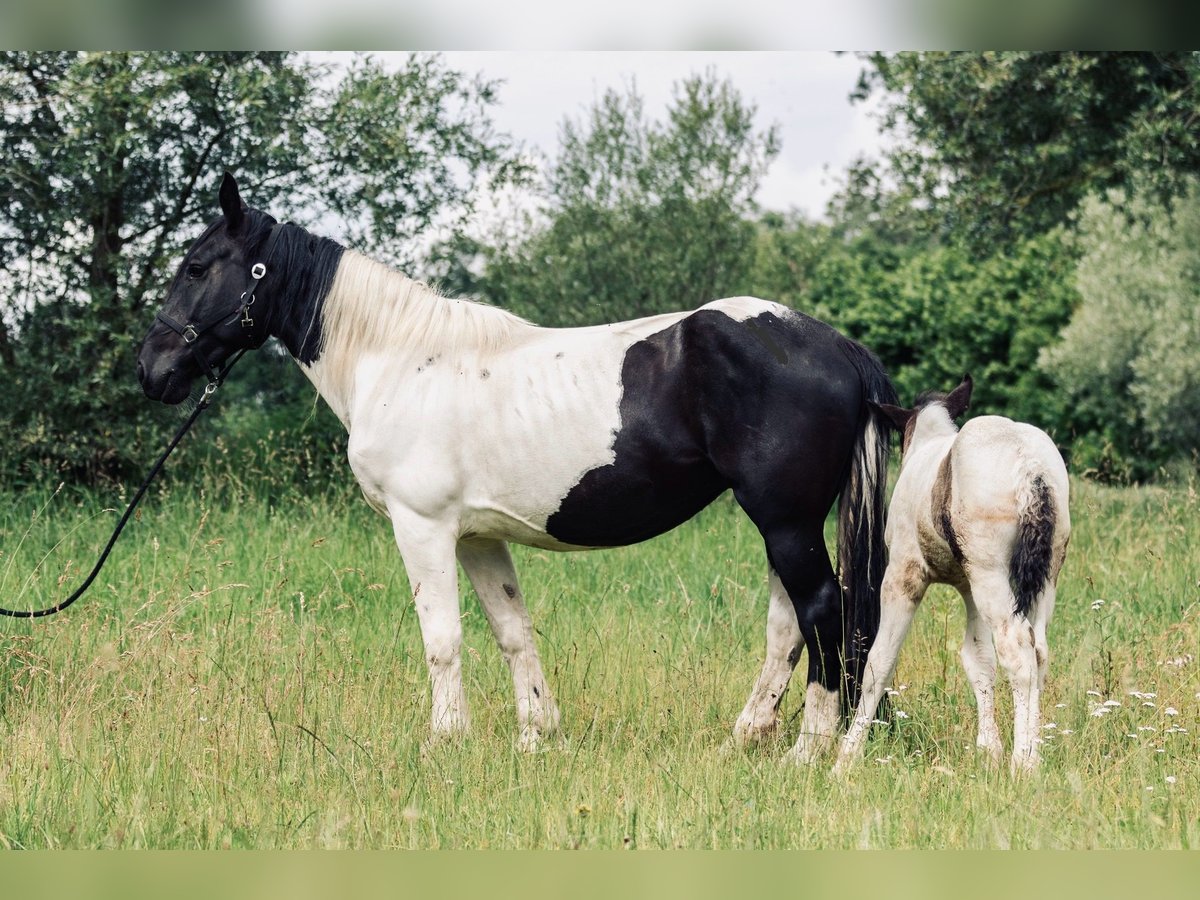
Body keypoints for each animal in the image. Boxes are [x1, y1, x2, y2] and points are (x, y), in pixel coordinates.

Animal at [136, 170, 897, 763]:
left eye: (197, 267)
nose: (152, 370)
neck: (400, 359)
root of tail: (833, 345)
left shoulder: (423, 529)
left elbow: (442, 639)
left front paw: (444, 741)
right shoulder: (477, 536)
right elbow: (512, 631)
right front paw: (537, 736)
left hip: (785, 519)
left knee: (820, 612)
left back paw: (807, 750)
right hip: (782, 523)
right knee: (787, 624)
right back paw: (748, 735)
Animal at [835, 374, 1070, 777]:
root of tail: (1031, 467)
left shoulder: (903, 576)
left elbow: (879, 662)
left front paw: (846, 758)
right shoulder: (968, 587)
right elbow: (978, 659)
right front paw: (988, 751)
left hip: (993, 577)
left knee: (1018, 652)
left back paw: (1022, 763)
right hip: (1040, 578)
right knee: (1038, 650)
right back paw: (1032, 756)